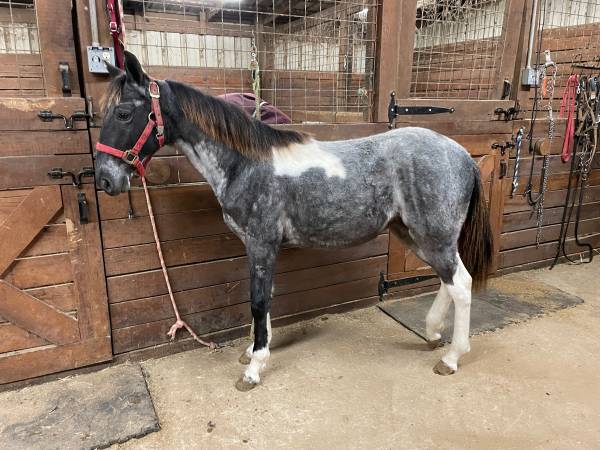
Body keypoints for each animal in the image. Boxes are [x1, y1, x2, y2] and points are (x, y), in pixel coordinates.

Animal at [97, 51, 492, 390]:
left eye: (123, 113)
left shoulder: (261, 243)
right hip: (416, 235)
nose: (104, 180)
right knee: (447, 281)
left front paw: (254, 368)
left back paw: (451, 357)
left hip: (434, 236)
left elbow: (258, 300)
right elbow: (266, 298)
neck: (245, 163)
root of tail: (461, 155)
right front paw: (253, 351)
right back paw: (432, 333)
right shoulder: (259, 247)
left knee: (461, 284)